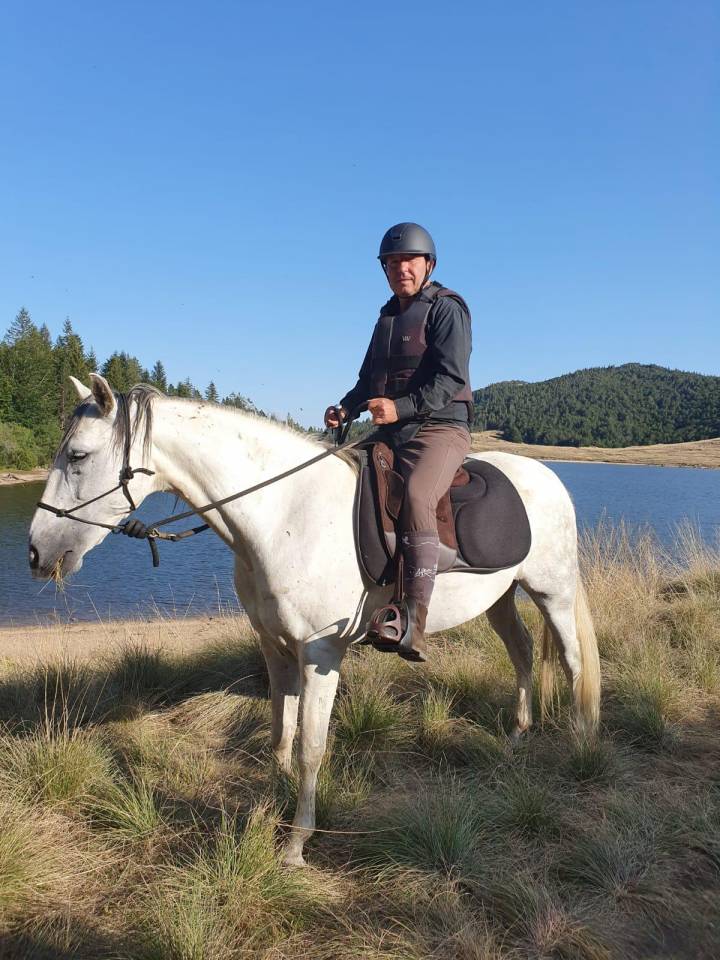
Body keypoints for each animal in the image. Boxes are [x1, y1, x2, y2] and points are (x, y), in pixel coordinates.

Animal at [28, 374, 600, 866]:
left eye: (77, 456)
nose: (35, 553)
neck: (284, 514)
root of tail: (548, 476)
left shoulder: (320, 654)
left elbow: (310, 747)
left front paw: (296, 844)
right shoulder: (274, 646)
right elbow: (281, 735)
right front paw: (270, 806)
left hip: (553, 592)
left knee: (573, 662)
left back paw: (582, 744)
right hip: (501, 598)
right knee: (522, 652)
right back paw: (518, 734)